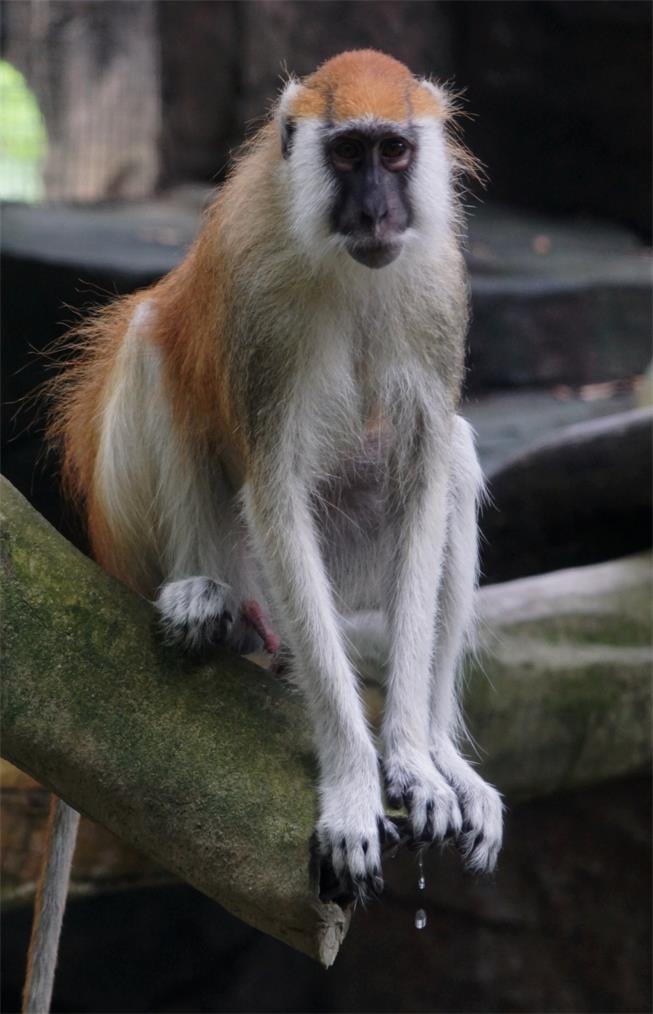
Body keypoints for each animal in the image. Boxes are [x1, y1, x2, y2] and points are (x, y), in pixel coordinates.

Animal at [25, 49, 504, 1012]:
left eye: (395, 152)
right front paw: (353, 784)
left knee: (456, 452)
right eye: (348, 153)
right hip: (163, 534)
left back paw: (441, 749)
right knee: (154, 344)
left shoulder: (436, 292)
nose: (375, 209)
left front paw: (412, 757)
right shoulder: (261, 312)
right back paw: (205, 601)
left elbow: (428, 475)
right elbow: (273, 491)